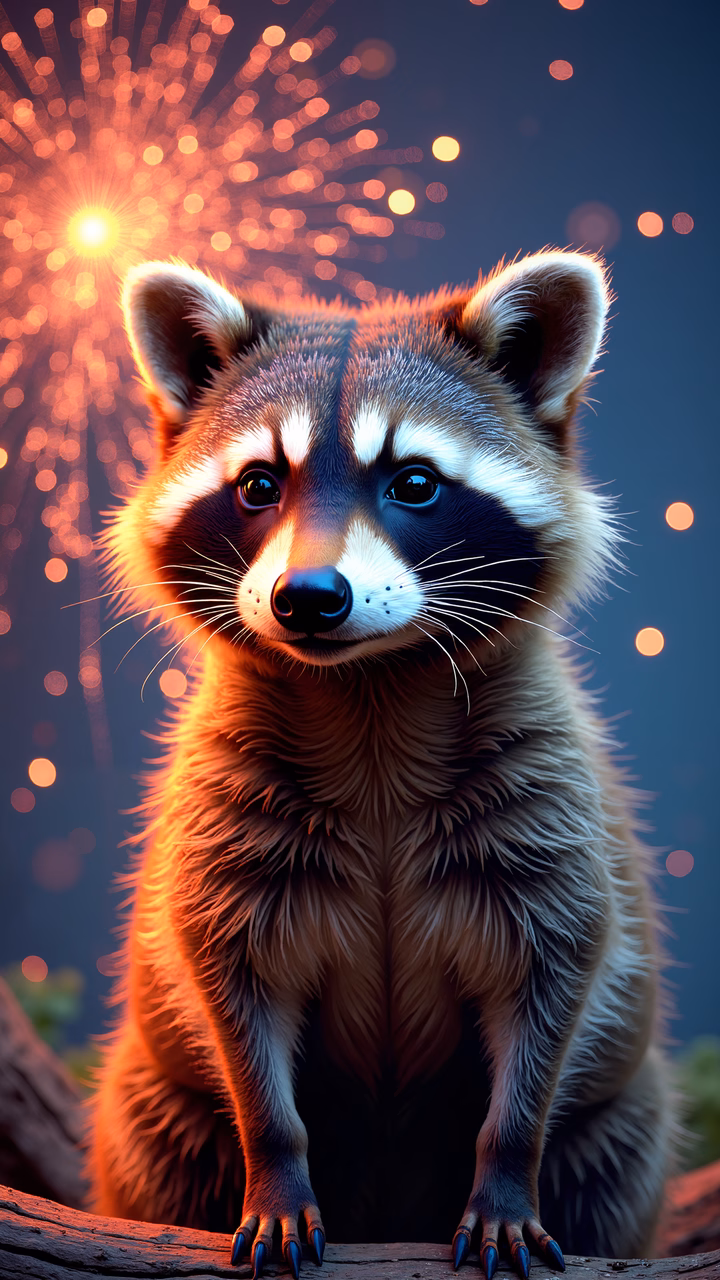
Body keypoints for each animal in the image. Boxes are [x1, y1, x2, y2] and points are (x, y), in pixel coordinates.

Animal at [89, 250, 674, 1278]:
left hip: (624, 1110)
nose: (308, 597)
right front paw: (277, 1170)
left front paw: (506, 1174)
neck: (365, 685)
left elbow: (556, 970)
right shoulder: (224, 817)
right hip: (150, 1099)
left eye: (413, 481)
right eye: (258, 485)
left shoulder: (549, 804)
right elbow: (232, 987)